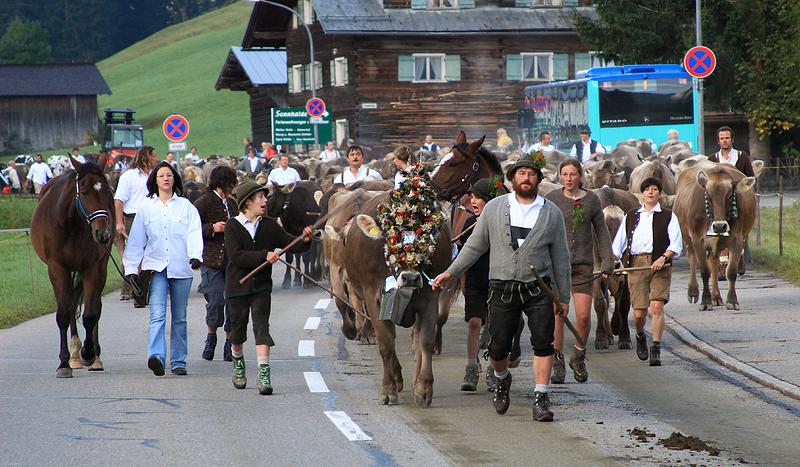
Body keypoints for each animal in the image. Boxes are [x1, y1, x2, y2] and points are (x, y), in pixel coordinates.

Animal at [31, 155, 115, 378]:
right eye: (84, 192)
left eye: (107, 191)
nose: (103, 234)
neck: (71, 223)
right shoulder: (57, 268)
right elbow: (63, 313)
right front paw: (64, 363)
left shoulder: (91, 268)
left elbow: (91, 314)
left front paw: (89, 353)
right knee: (69, 306)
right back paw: (75, 356)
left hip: (101, 266)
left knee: (95, 306)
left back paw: (93, 356)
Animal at [676, 165, 756, 310]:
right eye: (707, 196)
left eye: (730, 196)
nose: (719, 226)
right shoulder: (697, 239)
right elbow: (704, 271)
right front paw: (705, 302)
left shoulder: (737, 238)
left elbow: (731, 271)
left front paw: (732, 301)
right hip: (687, 238)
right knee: (692, 260)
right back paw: (693, 292)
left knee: (713, 262)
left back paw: (716, 297)